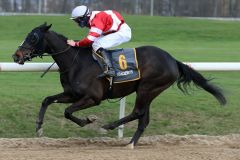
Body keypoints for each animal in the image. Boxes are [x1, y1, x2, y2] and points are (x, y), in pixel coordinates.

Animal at [13, 23, 227, 148]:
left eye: (33, 37)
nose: (16, 56)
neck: (76, 62)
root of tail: (173, 60)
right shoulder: (72, 94)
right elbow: (47, 100)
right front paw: (39, 128)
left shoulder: (93, 98)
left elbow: (68, 111)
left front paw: (89, 120)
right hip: (149, 91)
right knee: (143, 118)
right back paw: (131, 143)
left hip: (147, 88)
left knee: (138, 112)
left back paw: (107, 127)